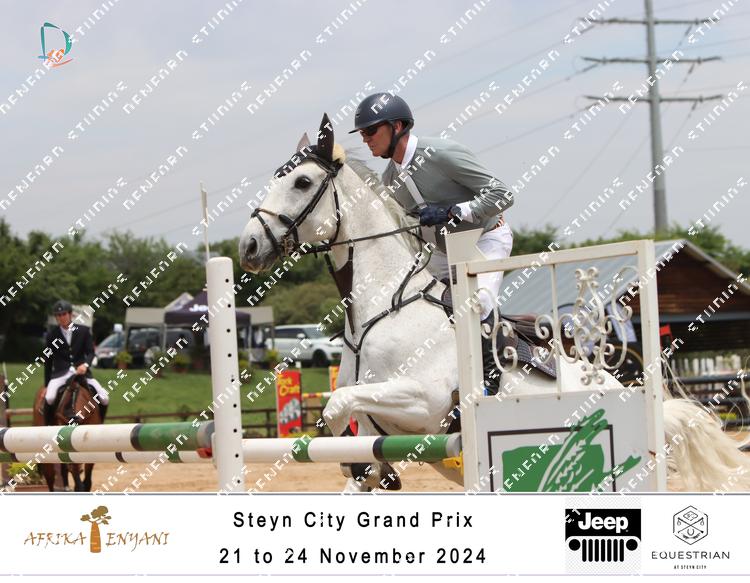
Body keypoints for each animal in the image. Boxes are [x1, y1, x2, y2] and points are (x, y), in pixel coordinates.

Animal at [239, 113, 750, 492]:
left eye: (303, 182)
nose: (248, 246)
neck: (381, 309)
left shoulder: (423, 402)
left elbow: (339, 406)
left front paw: (369, 465)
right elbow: (351, 423)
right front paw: (373, 471)